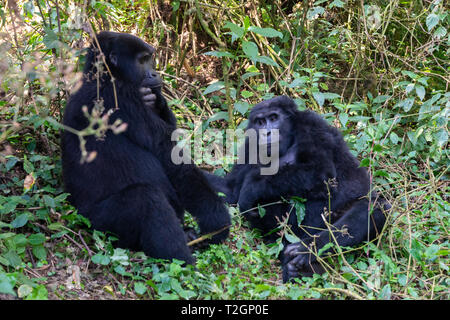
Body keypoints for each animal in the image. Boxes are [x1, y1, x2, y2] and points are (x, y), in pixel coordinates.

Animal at [61, 31, 230, 264]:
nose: (155, 73)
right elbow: (168, 150)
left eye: (150, 59)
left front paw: (157, 101)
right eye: (142, 60)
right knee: (146, 199)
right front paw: (216, 218)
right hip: (98, 223)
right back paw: (182, 260)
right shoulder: (121, 97)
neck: (101, 75)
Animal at [206, 96, 388, 282]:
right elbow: (230, 190)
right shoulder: (250, 144)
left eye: (274, 118)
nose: (266, 133)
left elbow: (320, 172)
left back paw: (308, 252)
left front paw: (251, 188)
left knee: (373, 208)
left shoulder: (312, 124)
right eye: (260, 122)